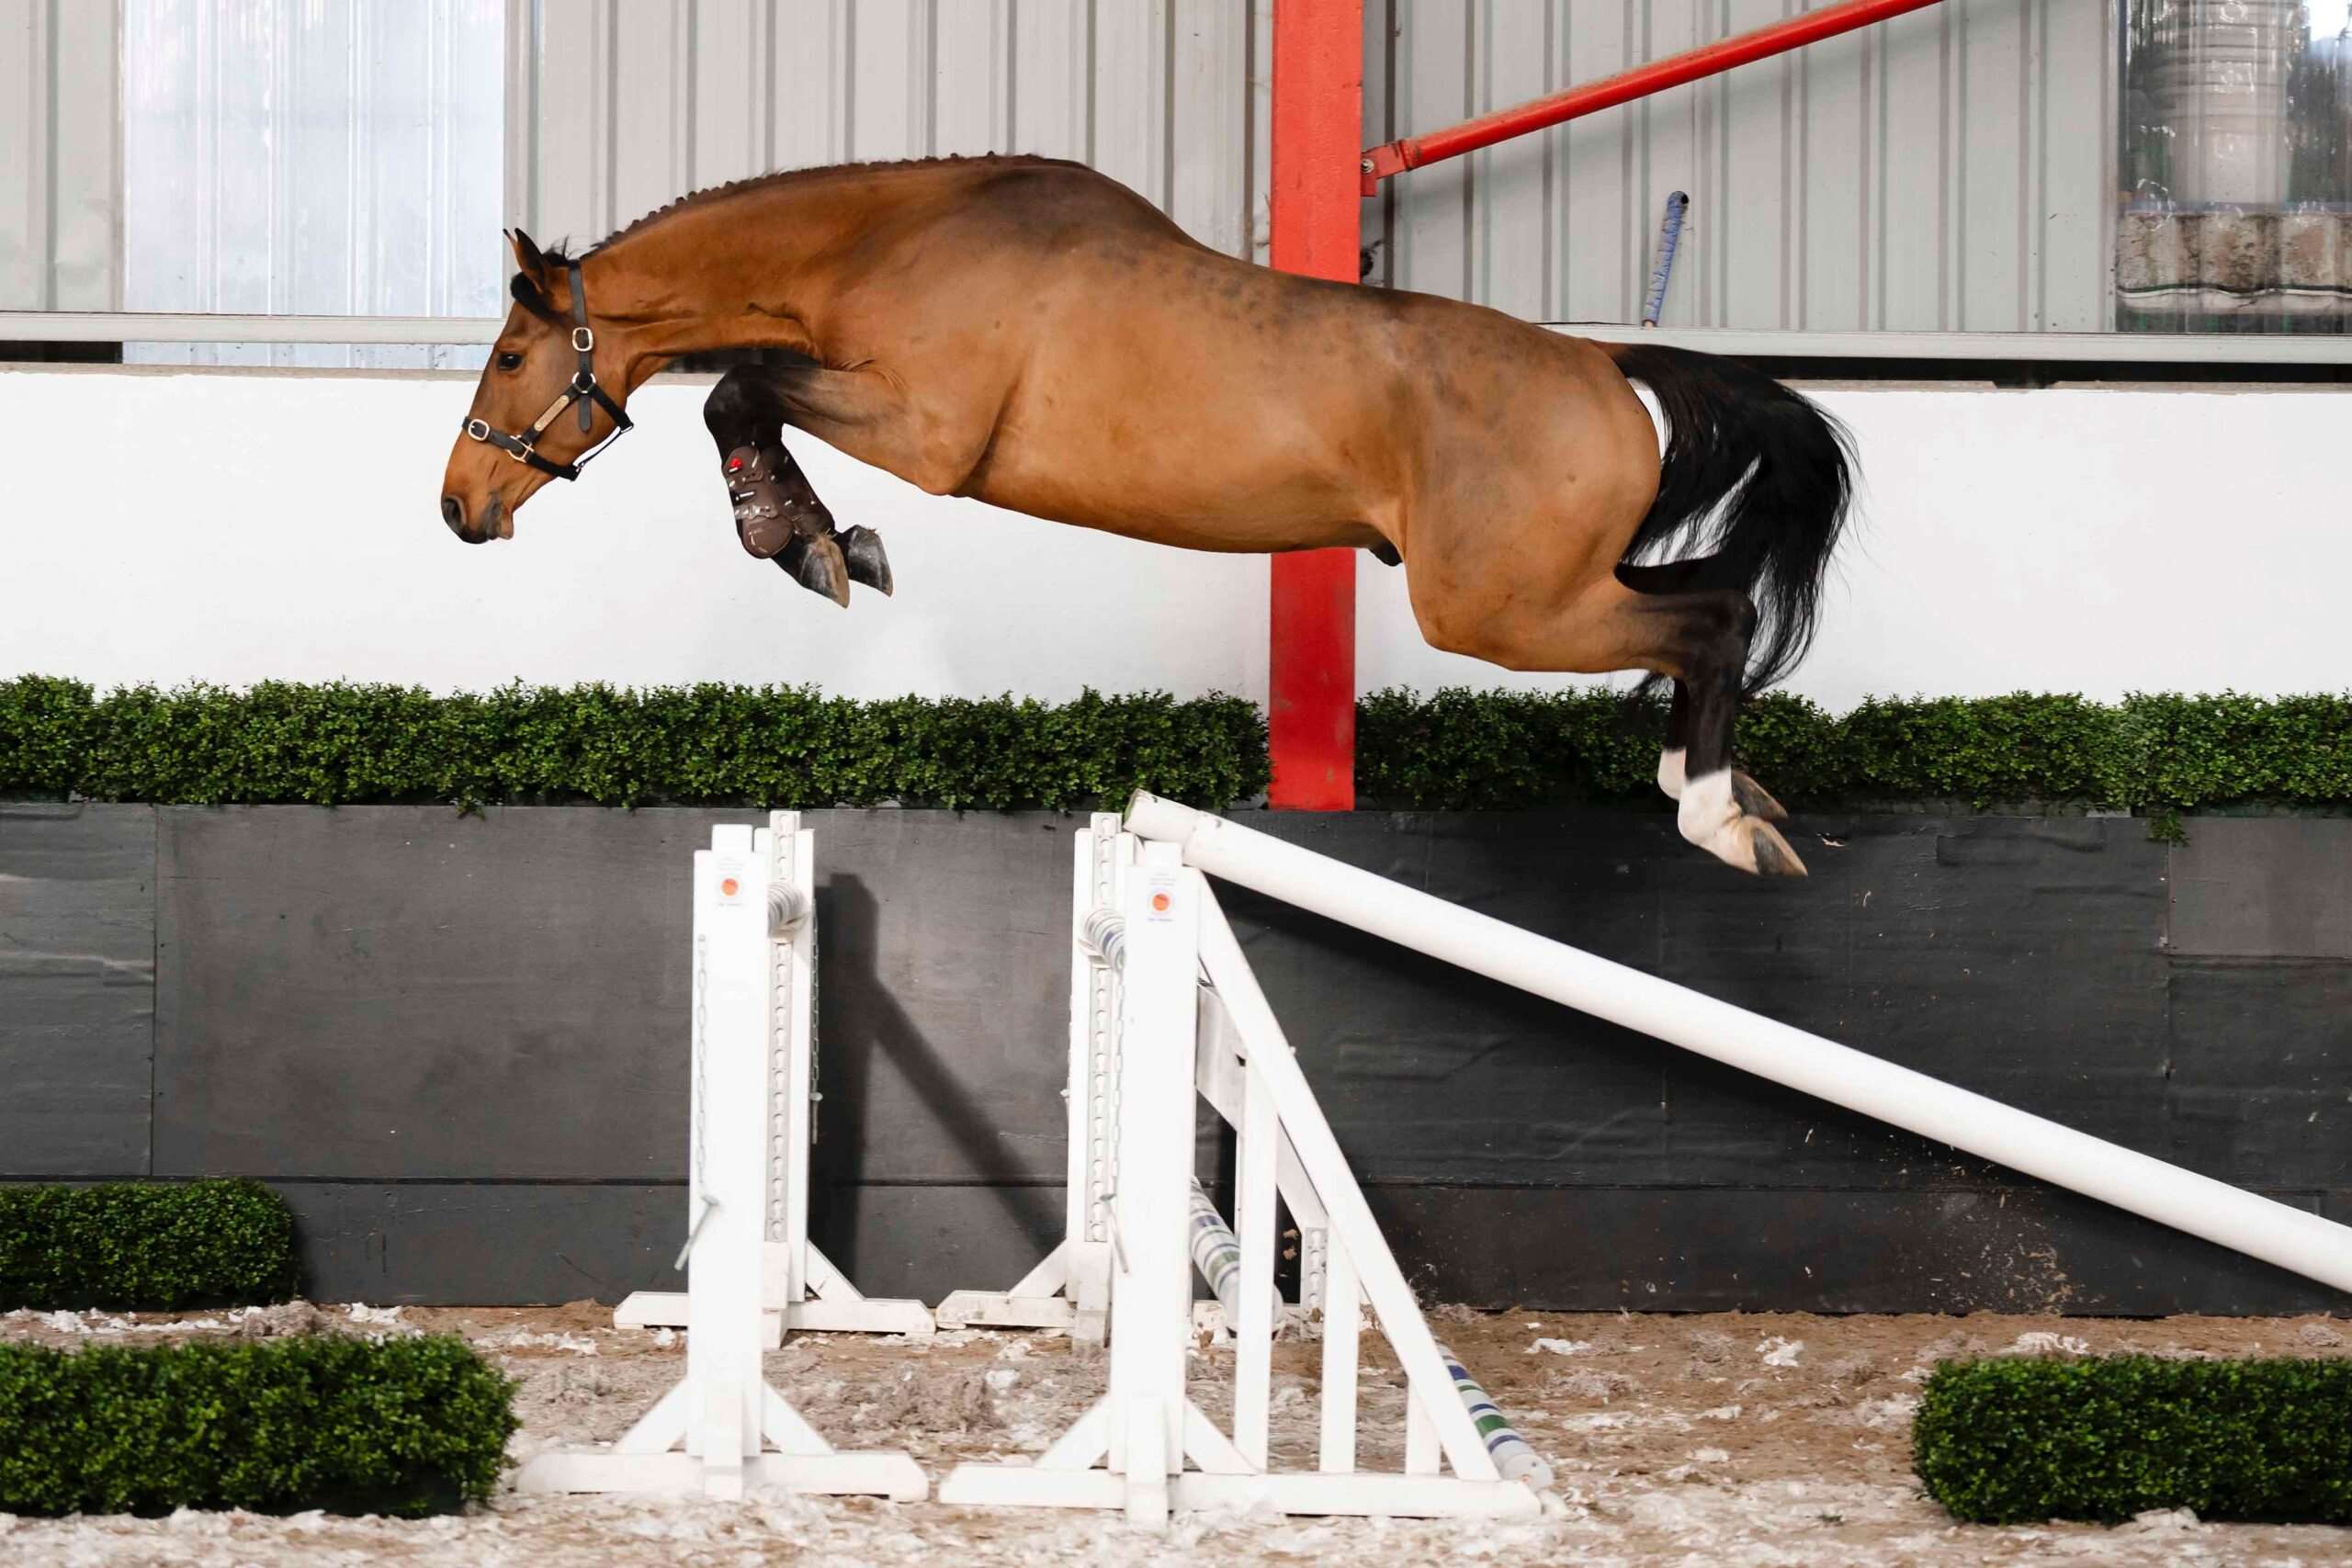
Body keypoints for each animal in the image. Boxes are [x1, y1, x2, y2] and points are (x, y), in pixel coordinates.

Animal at [440, 154, 1855, 876]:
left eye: (509, 356)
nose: (458, 507)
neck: (890, 241)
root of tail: (1605, 363)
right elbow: (746, 395)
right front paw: (818, 540)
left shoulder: (925, 432)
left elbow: (738, 390)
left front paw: (804, 542)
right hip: (1550, 586)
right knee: (1715, 600)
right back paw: (1722, 783)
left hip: (1498, 609)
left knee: (1713, 620)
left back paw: (1716, 813)